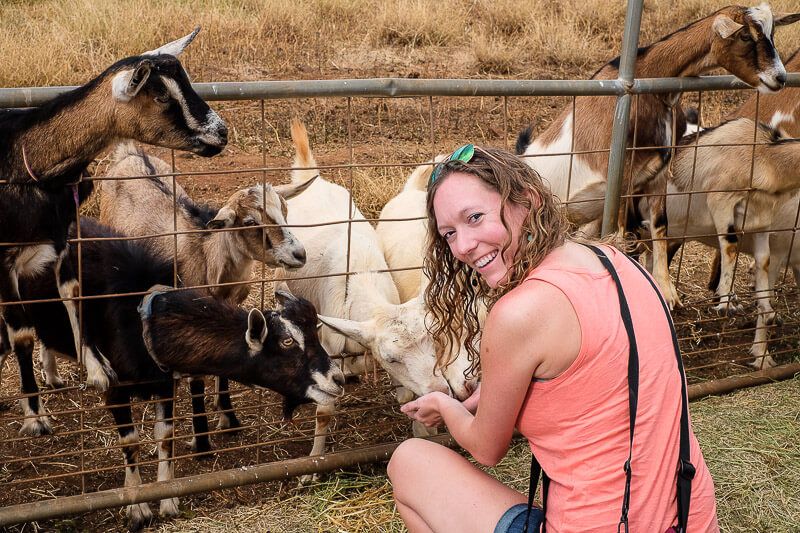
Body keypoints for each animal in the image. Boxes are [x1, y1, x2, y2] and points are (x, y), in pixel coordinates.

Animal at [0, 28, 228, 432]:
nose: (221, 133)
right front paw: (35, 416)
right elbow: (22, 335)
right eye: (160, 94)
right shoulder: (3, 257)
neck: (25, 159)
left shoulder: (61, 241)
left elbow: (73, 293)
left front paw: (96, 369)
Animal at [15, 216, 340, 528]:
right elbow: (130, 441)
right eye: (287, 342)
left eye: (315, 332)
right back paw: (36, 417)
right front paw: (138, 509)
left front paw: (168, 501)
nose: (336, 378)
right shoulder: (114, 387)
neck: (140, 320)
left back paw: (52, 376)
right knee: (22, 342)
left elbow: (165, 436)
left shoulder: (165, 383)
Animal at [95, 141, 314, 440]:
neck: (208, 259)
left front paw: (229, 418)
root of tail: (129, 152)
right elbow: (197, 380)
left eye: (285, 211)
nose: (299, 254)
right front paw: (201, 436)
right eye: (250, 222)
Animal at [280, 120, 476, 470]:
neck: (360, 280)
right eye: (391, 357)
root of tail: (308, 175)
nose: (441, 390)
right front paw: (313, 463)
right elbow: (324, 411)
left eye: (433, 342)